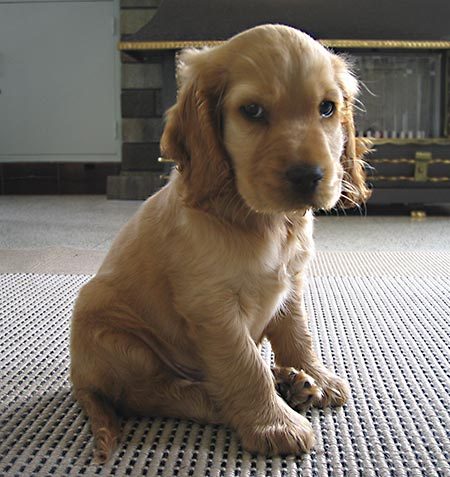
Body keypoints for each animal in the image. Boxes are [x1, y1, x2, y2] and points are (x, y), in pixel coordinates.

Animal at [70, 23, 370, 462]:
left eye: (327, 108)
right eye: (253, 111)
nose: (309, 176)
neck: (263, 220)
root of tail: (81, 382)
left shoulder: (292, 283)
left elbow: (298, 333)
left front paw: (315, 374)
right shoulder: (212, 307)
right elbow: (244, 365)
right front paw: (273, 424)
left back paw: (292, 381)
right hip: (118, 340)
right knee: (148, 393)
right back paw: (225, 399)